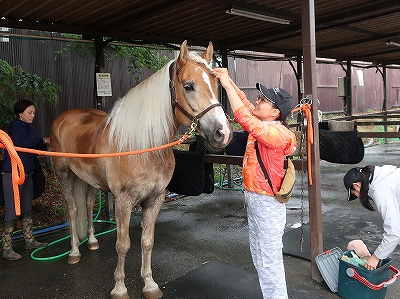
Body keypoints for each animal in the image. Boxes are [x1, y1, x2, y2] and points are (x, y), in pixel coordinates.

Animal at [50, 40, 231, 299]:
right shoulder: (124, 201)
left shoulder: (155, 199)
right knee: (73, 210)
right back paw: (74, 252)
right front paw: (119, 288)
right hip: (64, 174)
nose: (222, 133)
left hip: (90, 181)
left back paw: (92, 241)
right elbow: (123, 244)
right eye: (188, 86)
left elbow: (147, 241)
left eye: (216, 84)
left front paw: (150, 284)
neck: (144, 147)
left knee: (87, 205)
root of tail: (65, 117)